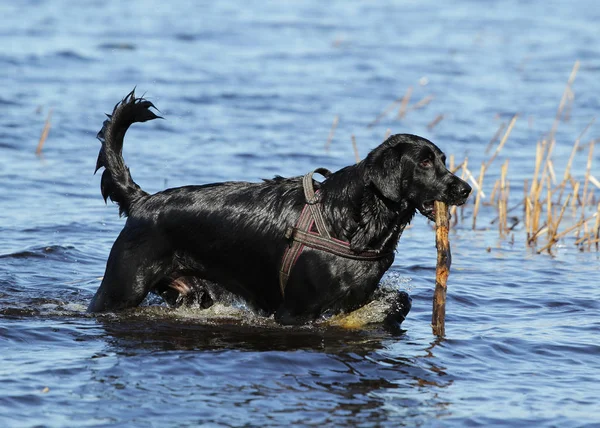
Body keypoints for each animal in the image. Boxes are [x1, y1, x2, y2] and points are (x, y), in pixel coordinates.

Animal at [86, 91, 472, 324]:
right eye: (424, 162)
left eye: (443, 160)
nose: (465, 189)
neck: (355, 219)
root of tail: (143, 200)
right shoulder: (295, 310)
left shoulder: (356, 293)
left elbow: (399, 298)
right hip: (121, 288)